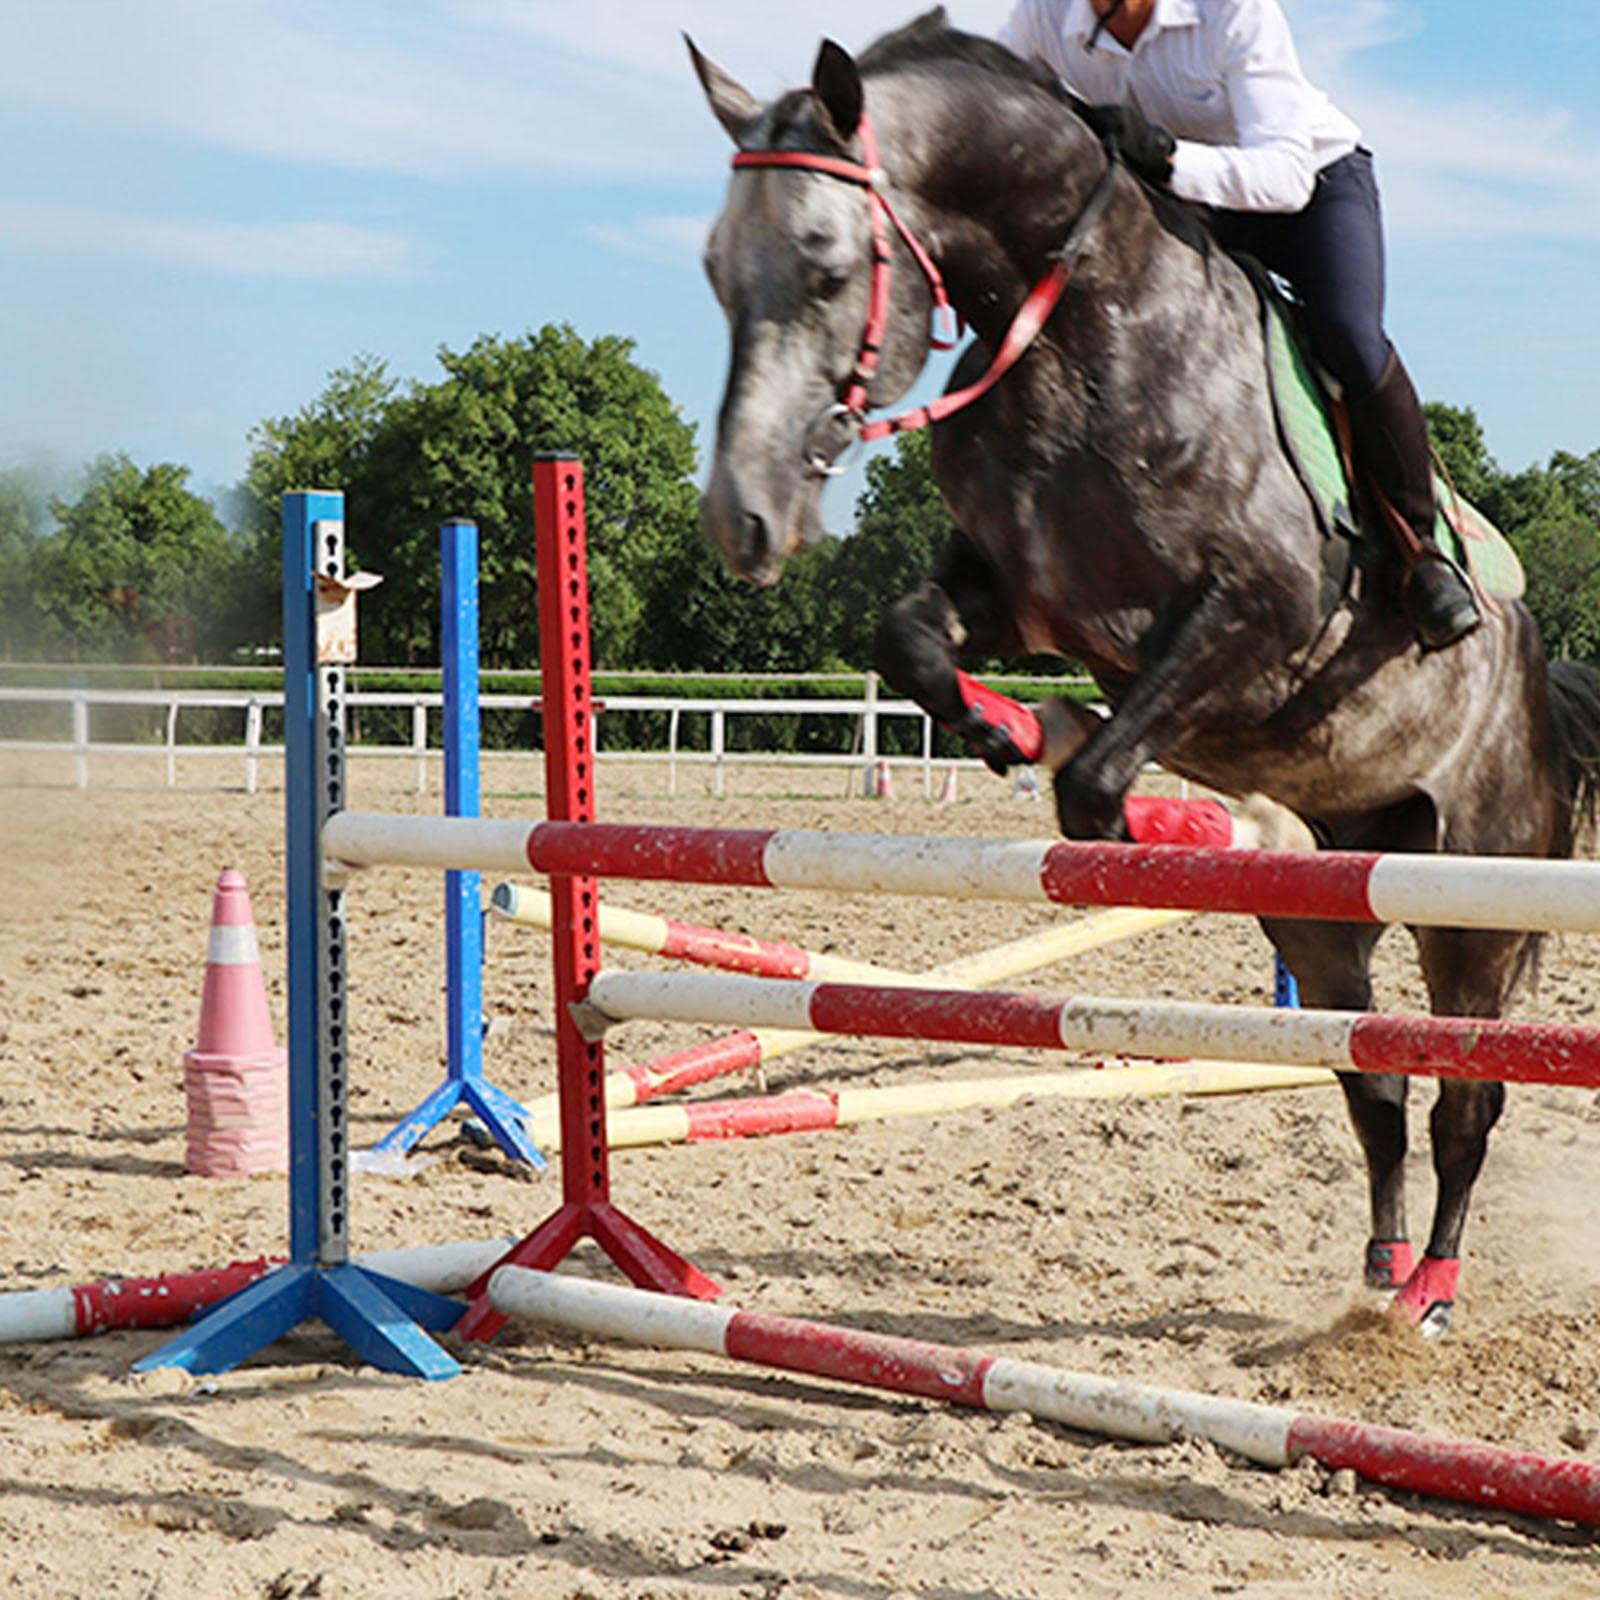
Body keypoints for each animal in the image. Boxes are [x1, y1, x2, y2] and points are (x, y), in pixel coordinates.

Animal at [689, 11, 1600, 1335]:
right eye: (715, 270)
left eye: (822, 267)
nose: (741, 522)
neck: (1084, 325)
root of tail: (1536, 673)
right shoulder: (1024, 593)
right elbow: (911, 643)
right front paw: (1013, 731)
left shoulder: (1255, 619)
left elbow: (1099, 780)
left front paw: (1118, 783)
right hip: (1333, 903)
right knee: (1374, 1087)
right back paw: (1377, 1275)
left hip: (1469, 896)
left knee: (1464, 1097)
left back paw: (1430, 1292)